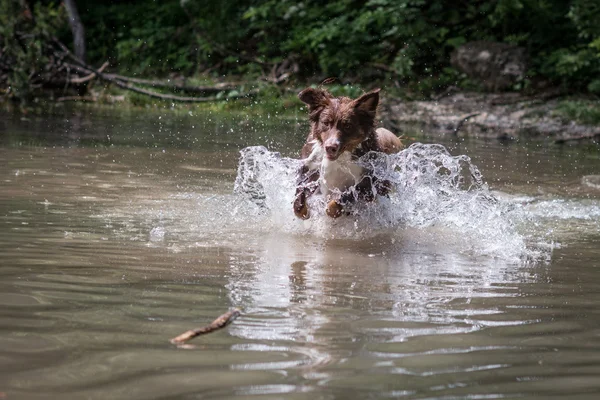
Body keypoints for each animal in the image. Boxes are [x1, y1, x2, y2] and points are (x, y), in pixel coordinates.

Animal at [292, 87, 400, 219]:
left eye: (347, 126)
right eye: (326, 123)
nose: (330, 147)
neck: (339, 159)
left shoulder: (367, 184)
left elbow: (339, 200)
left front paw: (332, 209)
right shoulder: (310, 166)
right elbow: (300, 194)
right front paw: (303, 210)